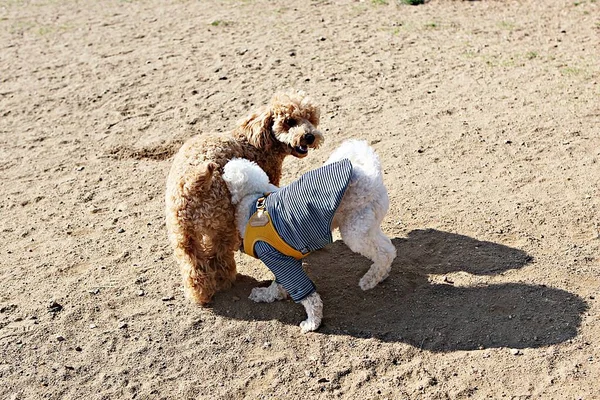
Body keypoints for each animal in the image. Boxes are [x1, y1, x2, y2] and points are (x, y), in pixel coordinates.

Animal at [164, 90, 324, 304]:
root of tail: (193, 184)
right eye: (289, 121)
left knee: (193, 266)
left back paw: (200, 294)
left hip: (182, 234)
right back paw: (227, 279)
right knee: (219, 255)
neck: (255, 142)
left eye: (311, 118)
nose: (309, 136)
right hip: (222, 225)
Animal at [223, 141, 396, 332]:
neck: (254, 207)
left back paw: (370, 279)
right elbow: (280, 284)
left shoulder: (275, 256)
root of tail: (371, 176)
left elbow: (307, 295)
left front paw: (312, 322)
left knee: (384, 253)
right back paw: (380, 275)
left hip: (355, 230)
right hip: (366, 225)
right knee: (387, 247)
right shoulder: (287, 256)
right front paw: (266, 294)